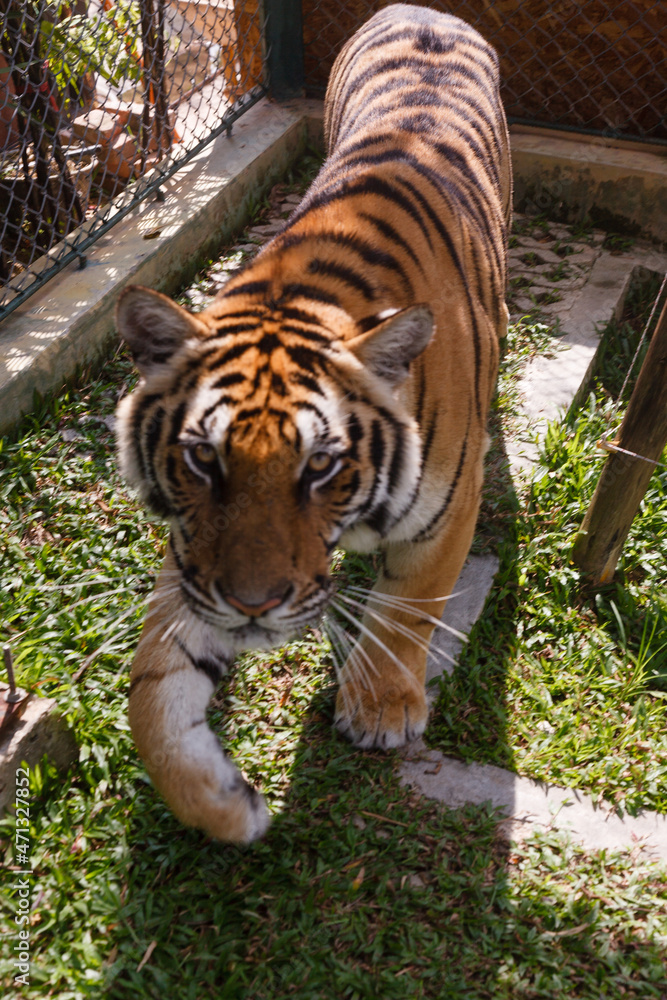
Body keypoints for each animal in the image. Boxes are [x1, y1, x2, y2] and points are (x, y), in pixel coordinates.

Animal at [115, 3, 511, 843]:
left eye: (321, 466)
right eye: (202, 462)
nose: (254, 606)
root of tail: (423, 11)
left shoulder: (444, 511)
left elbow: (408, 606)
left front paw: (381, 708)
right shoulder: (195, 557)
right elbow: (153, 689)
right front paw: (221, 806)